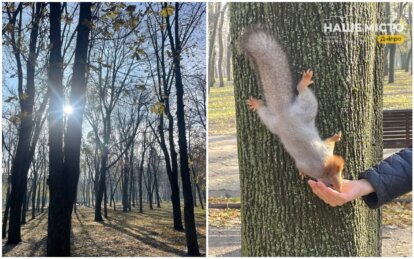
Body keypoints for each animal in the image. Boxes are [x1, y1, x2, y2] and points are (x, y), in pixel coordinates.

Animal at [241, 27, 344, 193]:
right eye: (331, 185)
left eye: (341, 174)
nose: (341, 190)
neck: (322, 164)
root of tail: (284, 113)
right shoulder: (312, 161)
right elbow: (304, 164)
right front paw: (302, 173)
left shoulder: (327, 152)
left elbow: (329, 143)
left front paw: (336, 137)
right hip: (285, 116)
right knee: (293, 95)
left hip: (304, 109)